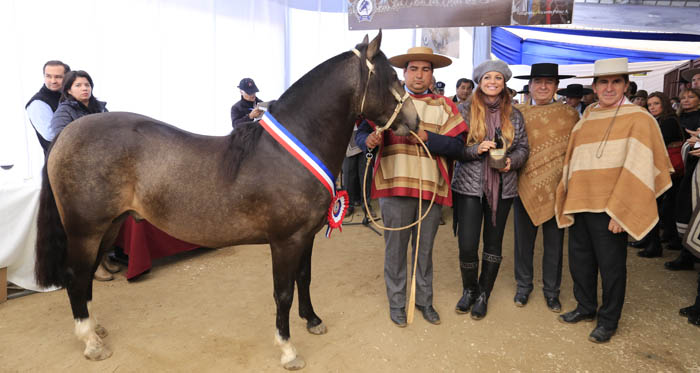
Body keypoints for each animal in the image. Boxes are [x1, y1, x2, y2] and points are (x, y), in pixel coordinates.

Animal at [32, 32, 418, 370]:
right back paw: (91, 342)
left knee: (85, 276)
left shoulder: (305, 236)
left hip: (110, 226)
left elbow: (304, 278)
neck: (286, 152)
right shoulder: (285, 241)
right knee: (75, 275)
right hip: (85, 230)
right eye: (391, 76)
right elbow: (283, 292)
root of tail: (66, 134)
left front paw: (312, 320)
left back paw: (95, 329)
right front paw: (288, 350)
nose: (413, 121)